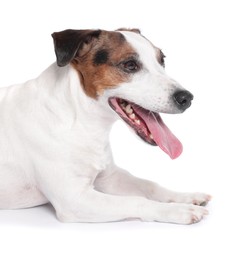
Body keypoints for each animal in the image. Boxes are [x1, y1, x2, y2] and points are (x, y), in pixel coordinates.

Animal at [0, 27, 210, 223]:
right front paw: (178, 210)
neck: (80, 119)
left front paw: (185, 197)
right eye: (130, 65)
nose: (186, 98)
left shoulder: (110, 177)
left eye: (162, 60)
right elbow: (136, 200)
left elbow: (150, 185)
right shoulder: (73, 199)